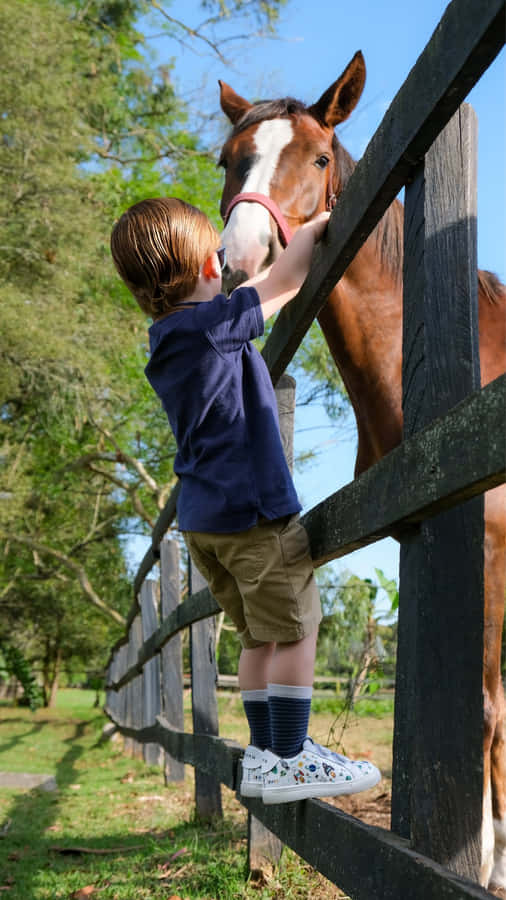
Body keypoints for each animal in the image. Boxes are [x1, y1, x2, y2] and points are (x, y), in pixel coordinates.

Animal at [217, 52, 506, 891]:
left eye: (318, 158)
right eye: (228, 159)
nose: (239, 258)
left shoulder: (482, 536)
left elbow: (481, 706)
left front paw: (480, 865)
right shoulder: (414, 527)